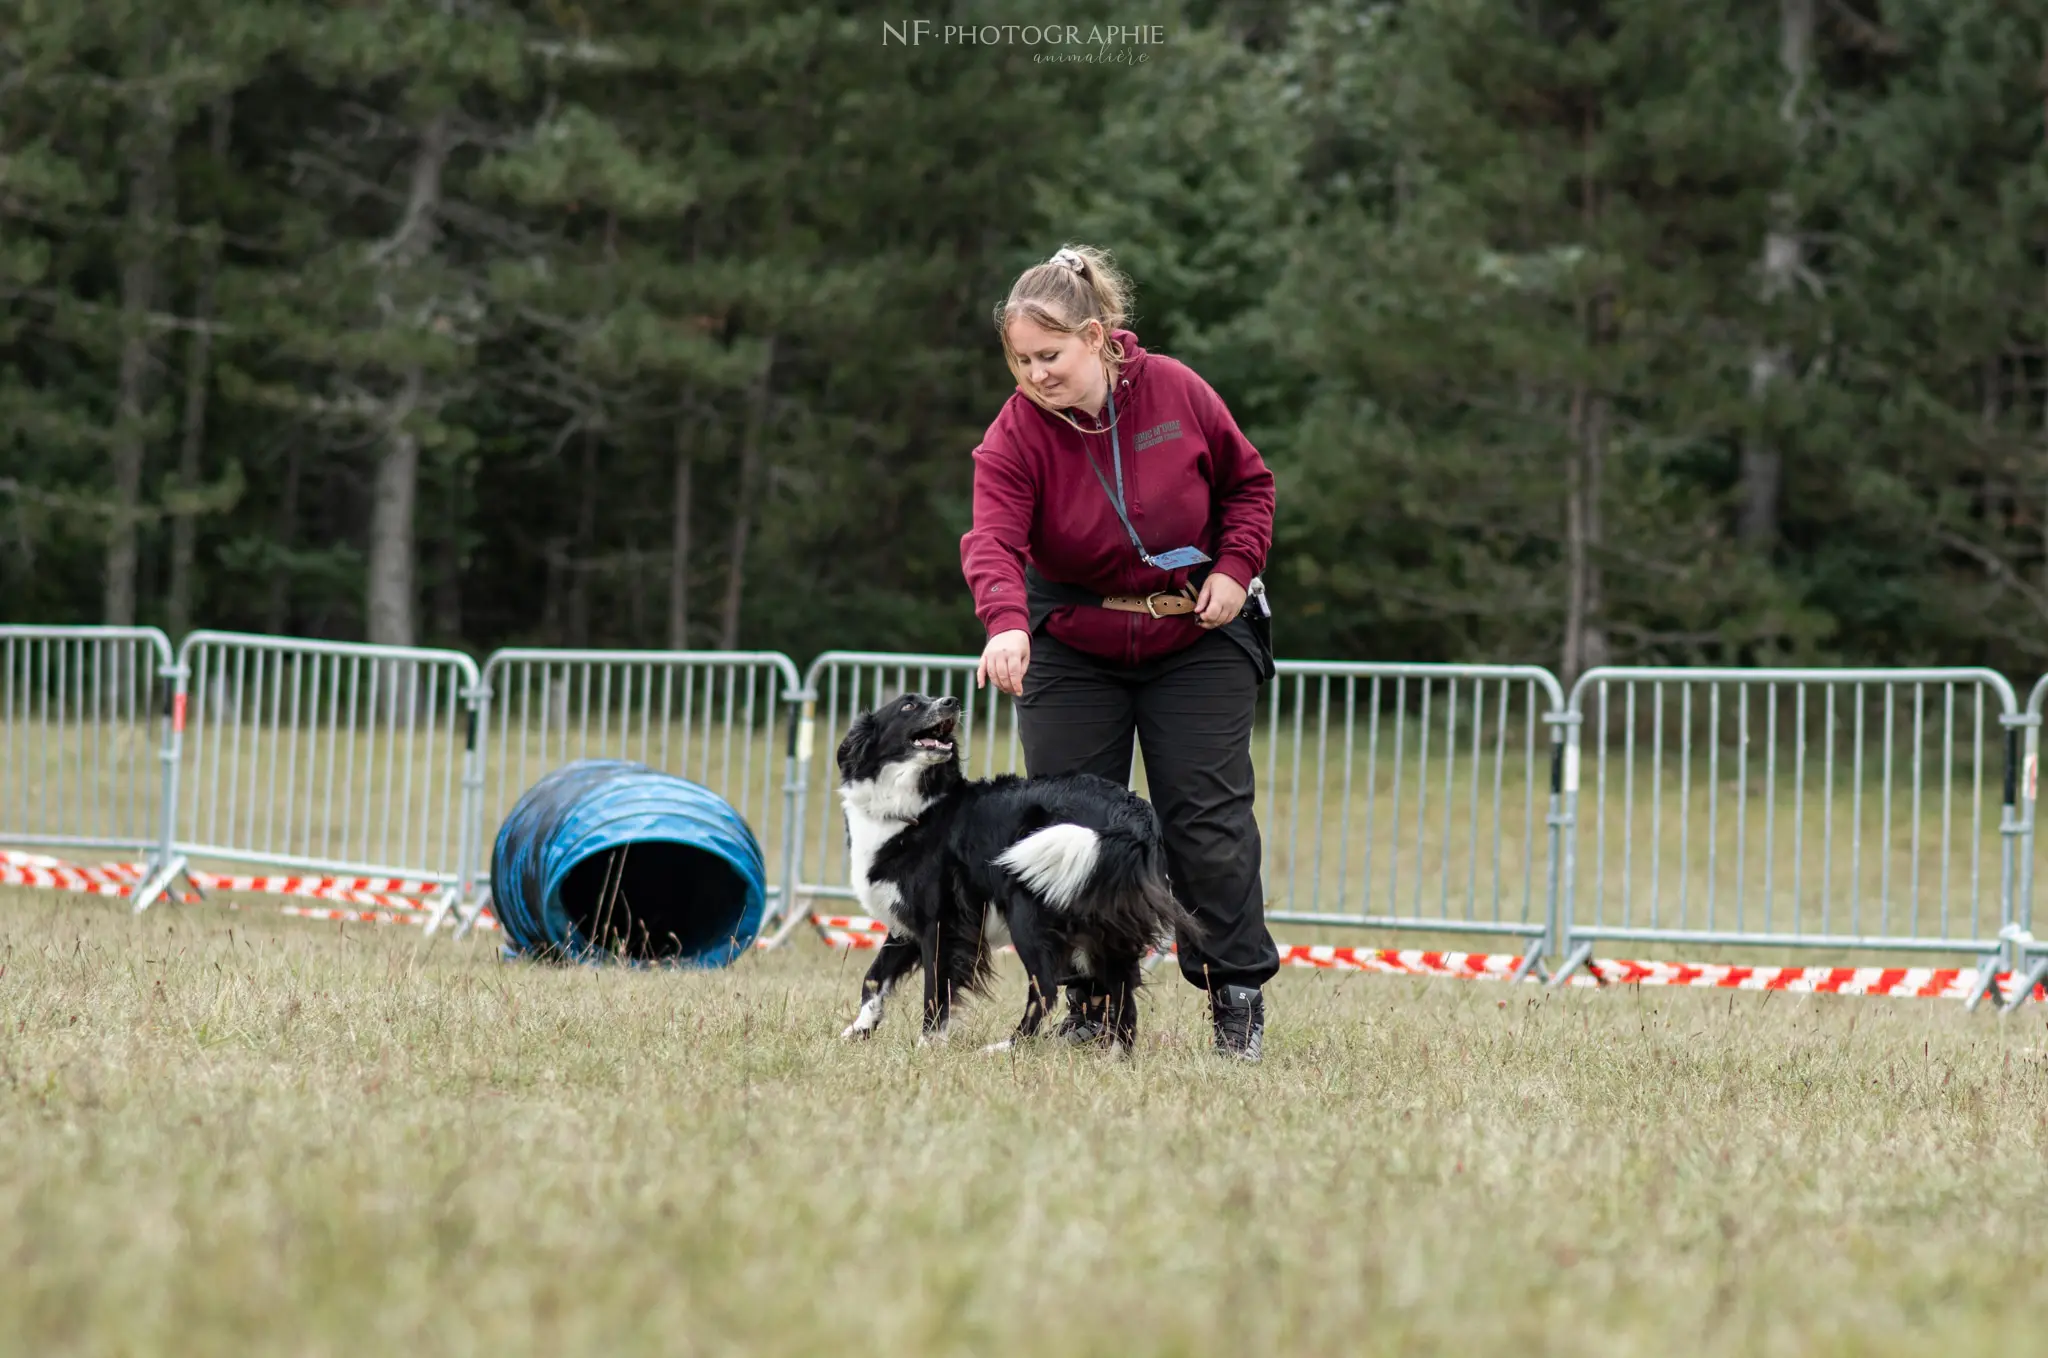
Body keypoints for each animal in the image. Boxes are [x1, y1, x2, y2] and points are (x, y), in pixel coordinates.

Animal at [831, 692, 1196, 1048]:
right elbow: (874, 976)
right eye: (908, 705)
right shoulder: (906, 919)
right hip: (1104, 926)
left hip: (1028, 911)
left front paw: (928, 1044)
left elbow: (934, 989)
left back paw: (1008, 1047)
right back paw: (1117, 1054)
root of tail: (1129, 811)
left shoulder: (941, 923)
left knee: (1046, 989)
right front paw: (860, 1028)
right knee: (1121, 991)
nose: (951, 701)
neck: (918, 804)